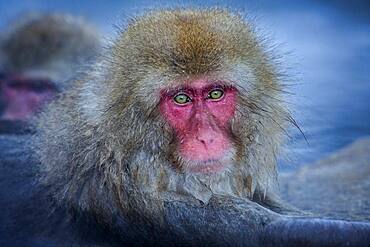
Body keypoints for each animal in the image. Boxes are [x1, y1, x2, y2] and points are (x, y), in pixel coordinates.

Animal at [0, 7, 368, 247]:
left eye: (215, 93)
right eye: (181, 99)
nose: (206, 138)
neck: (122, 159)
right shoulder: (172, 209)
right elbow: (283, 231)